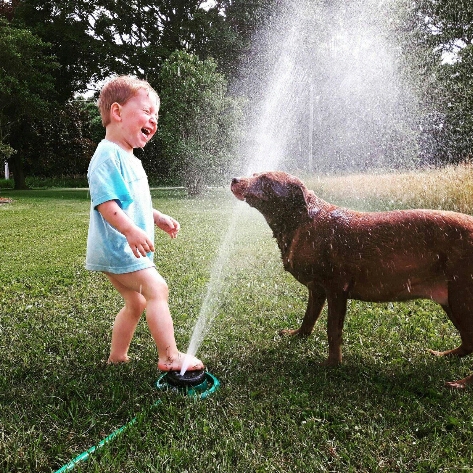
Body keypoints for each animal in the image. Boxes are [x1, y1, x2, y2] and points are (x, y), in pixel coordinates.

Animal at [232, 170, 473, 388]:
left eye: (265, 179)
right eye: (254, 174)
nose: (234, 179)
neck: (301, 223)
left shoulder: (336, 288)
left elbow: (332, 329)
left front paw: (332, 364)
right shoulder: (316, 289)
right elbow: (309, 317)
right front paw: (297, 335)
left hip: (462, 298)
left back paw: (461, 384)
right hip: (452, 300)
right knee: (469, 342)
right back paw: (446, 355)